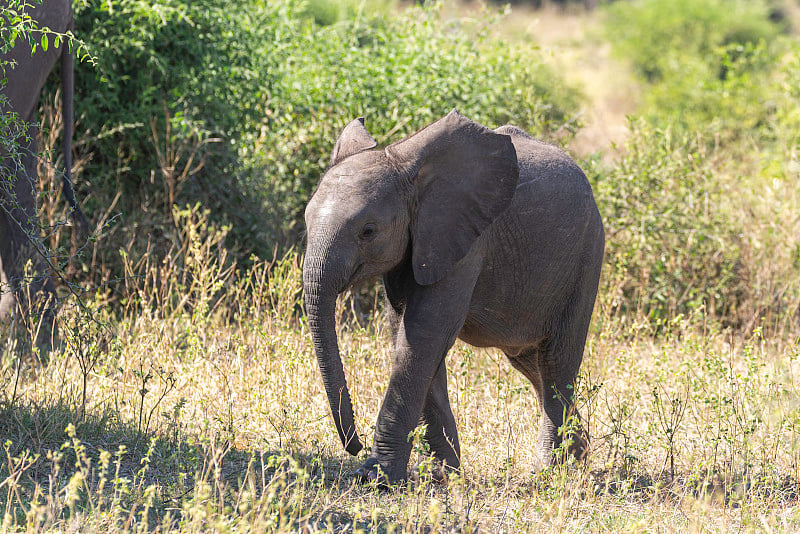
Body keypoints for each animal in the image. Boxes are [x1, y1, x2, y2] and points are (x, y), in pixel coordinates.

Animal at [304, 112, 604, 486]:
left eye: (368, 231)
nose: (353, 446)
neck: (408, 170)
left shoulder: (466, 241)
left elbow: (424, 335)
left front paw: (376, 478)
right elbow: (409, 335)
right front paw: (443, 475)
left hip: (586, 258)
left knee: (556, 364)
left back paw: (550, 473)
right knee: (532, 365)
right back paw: (579, 457)